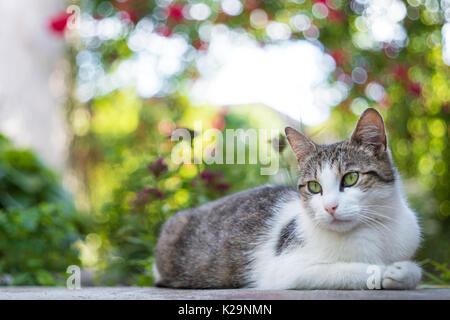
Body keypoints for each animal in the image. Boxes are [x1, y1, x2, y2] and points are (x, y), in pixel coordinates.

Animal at [155, 108, 422, 290]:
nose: (330, 207)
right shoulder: (284, 270)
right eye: (314, 187)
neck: (375, 228)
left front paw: (404, 271)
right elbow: (353, 270)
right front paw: (384, 271)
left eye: (351, 178)